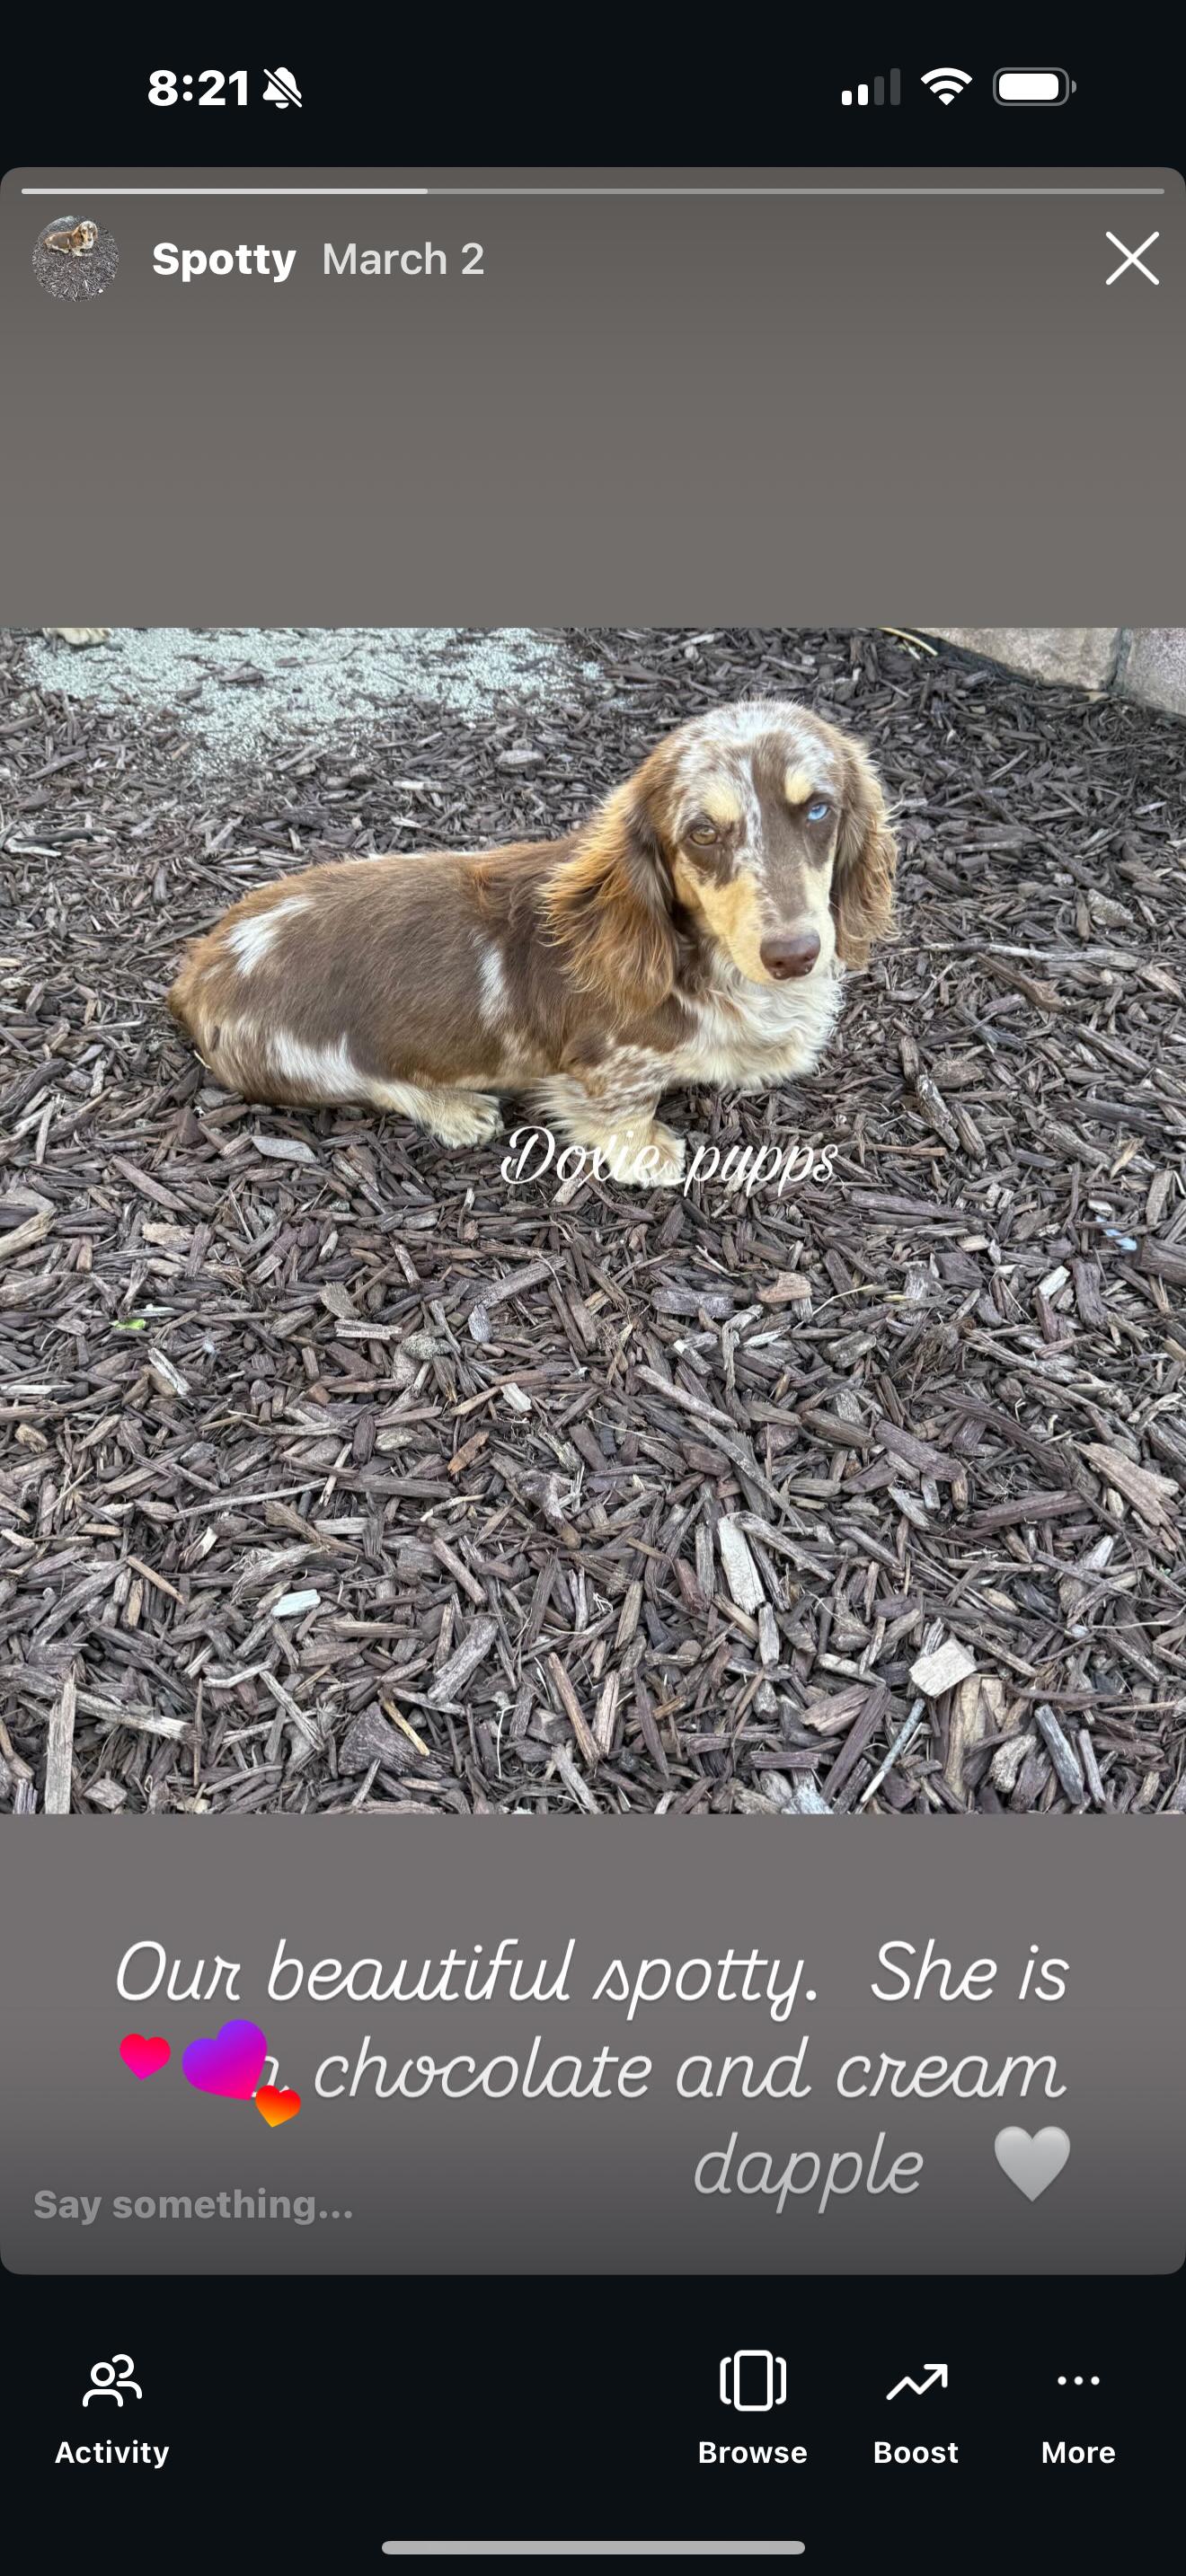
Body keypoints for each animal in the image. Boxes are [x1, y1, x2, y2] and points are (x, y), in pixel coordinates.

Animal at [168, 700, 896, 1183]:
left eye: (819, 808)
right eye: (704, 833)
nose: (794, 954)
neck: (702, 962)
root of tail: (198, 973)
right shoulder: (609, 1068)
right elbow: (621, 1111)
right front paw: (649, 1151)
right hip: (318, 1059)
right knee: (378, 1083)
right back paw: (456, 1109)